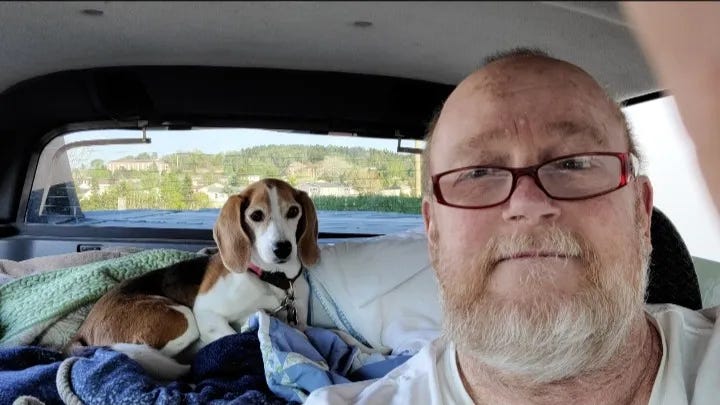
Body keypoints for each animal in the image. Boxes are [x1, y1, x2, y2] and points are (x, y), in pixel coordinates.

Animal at [66, 178, 320, 379]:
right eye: (256, 215)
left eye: (293, 212)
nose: (283, 248)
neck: (274, 279)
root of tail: (83, 330)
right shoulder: (206, 313)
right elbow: (233, 337)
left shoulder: (300, 321)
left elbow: (301, 332)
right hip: (183, 319)